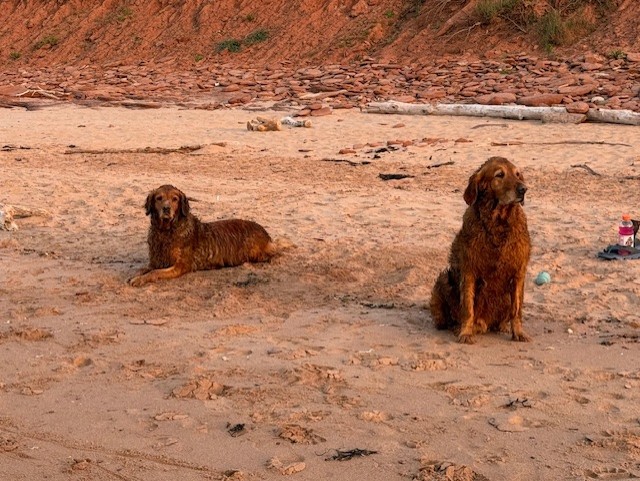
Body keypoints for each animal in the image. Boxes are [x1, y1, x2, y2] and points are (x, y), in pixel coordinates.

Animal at [128, 185, 278, 287]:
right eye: (159, 198)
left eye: (175, 199)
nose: (166, 208)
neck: (165, 231)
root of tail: (265, 232)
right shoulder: (156, 261)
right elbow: (143, 269)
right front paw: (135, 276)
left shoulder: (180, 266)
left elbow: (155, 272)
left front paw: (139, 280)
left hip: (254, 252)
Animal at [430, 156, 531, 344]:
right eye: (499, 175)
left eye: (517, 174)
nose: (524, 189)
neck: (498, 222)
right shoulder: (469, 270)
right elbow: (468, 307)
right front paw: (465, 332)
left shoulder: (519, 272)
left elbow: (516, 309)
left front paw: (519, 332)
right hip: (443, 280)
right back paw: (459, 327)